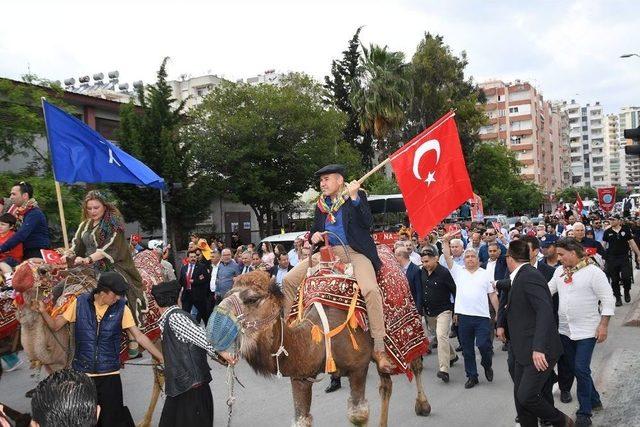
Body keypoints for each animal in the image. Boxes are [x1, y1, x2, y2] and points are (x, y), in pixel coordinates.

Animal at [219, 270, 430, 427]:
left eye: (252, 298)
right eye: (227, 295)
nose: (218, 319)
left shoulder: (358, 368)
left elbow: (358, 416)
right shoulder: (300, 376)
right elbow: (301, 419)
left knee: (415, 363)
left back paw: (423, 406)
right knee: (385, 384)